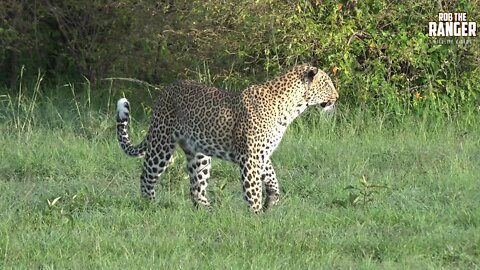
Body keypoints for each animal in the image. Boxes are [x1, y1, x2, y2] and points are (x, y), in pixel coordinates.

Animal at [117, 63, 338, 213]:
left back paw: (208, 212)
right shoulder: (251, 157)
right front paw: (256, 217)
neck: (292, 108)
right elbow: (253, 190)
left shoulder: (261, 154)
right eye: (327, 84)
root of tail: (164, 91)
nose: (337, 97)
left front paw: (271, 201)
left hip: (199, 155)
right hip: (162, 144)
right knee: (147, 175)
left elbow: (273, 179)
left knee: (196, 189)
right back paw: (149, 205)